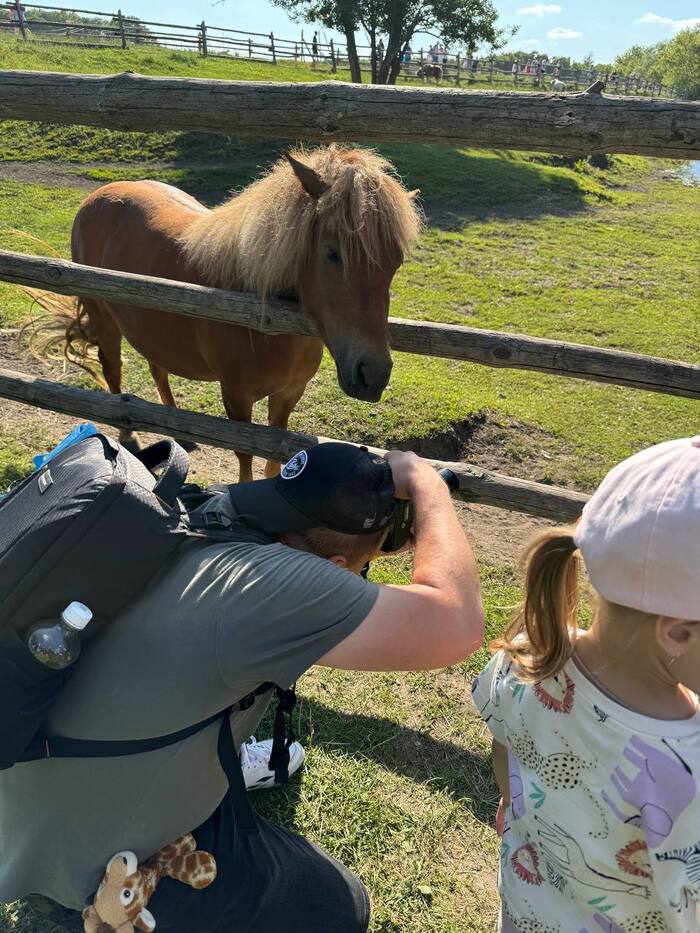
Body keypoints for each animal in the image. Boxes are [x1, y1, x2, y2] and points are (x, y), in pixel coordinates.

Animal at [26, 147, 422, 480]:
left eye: (395, 261)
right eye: (332, 252)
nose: (372, 374)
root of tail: (98, 196)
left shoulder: (289, 395)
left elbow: (275, 455)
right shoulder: (236, 398)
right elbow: (245, 457)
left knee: (157, 367)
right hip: (105, 322)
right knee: (113, 371)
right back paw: (129, 433)